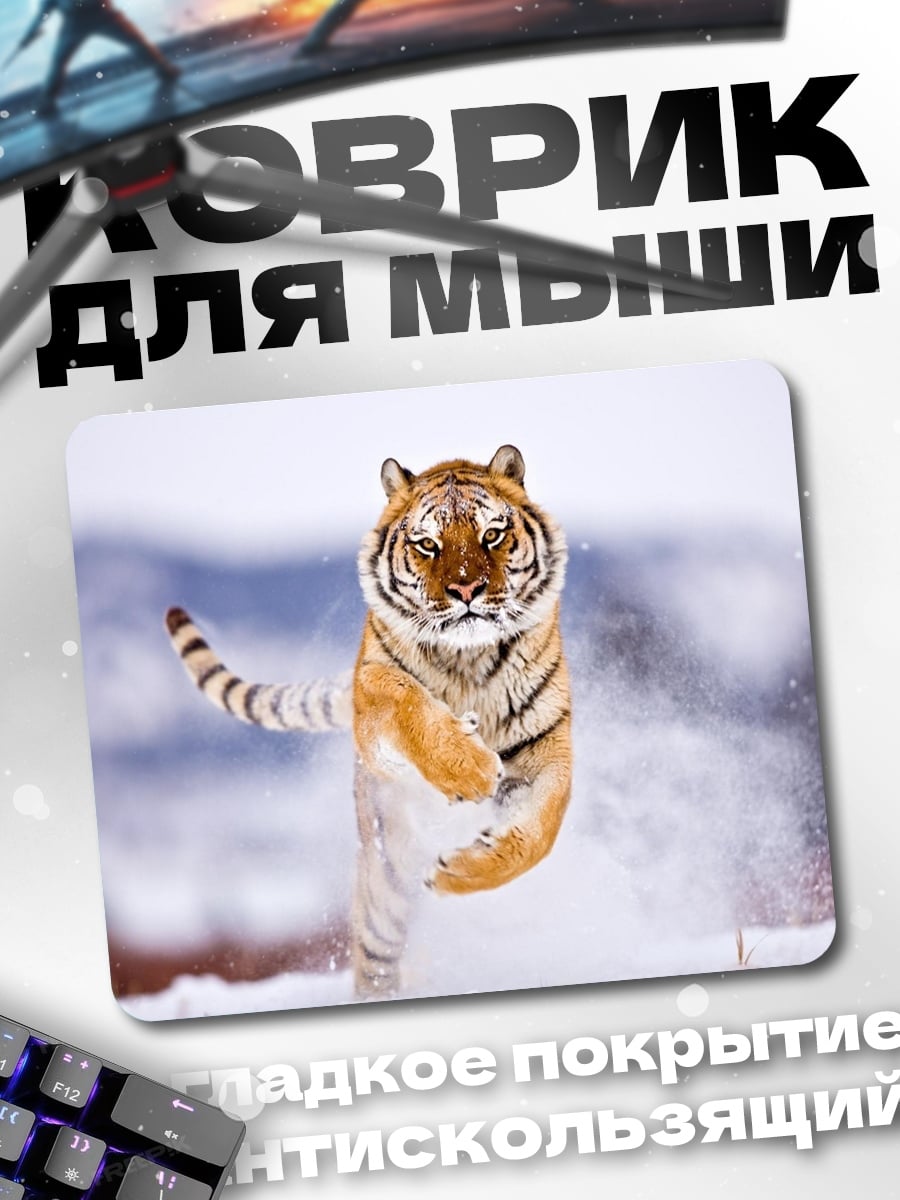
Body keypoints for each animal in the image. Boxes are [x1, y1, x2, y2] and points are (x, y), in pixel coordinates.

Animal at [164, 444, 571, 1000]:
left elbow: (539, 833)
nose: (467, 588)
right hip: (386, 879)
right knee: (376, 955)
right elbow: (406, 699)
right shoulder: (372, 695)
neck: (468, 660)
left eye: (491, 534)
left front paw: (458, 873)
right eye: (427, 544)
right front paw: (469, 769)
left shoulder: (546, 745)